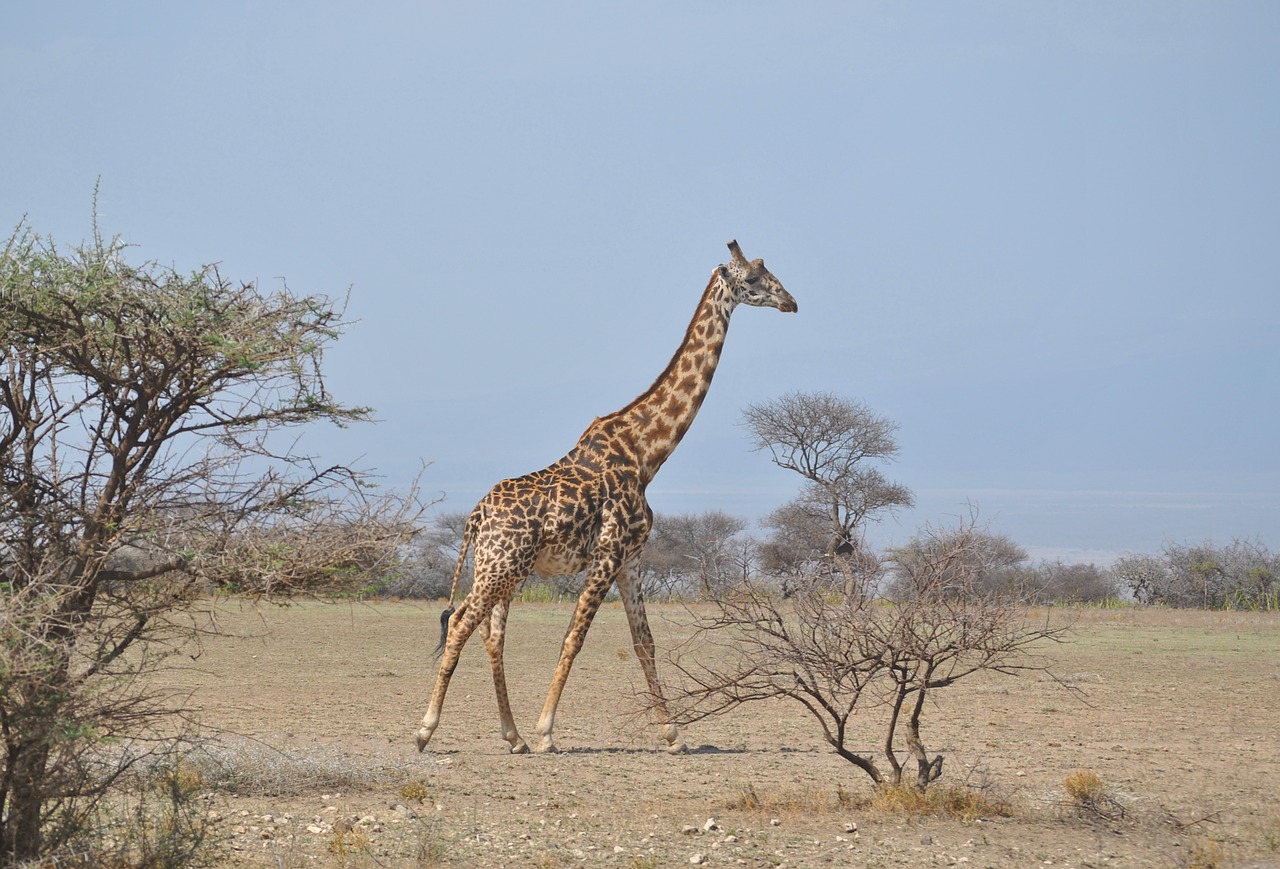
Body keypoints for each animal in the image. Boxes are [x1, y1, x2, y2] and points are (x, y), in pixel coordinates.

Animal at [419, 241, 793, 757]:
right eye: (754, 280)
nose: (791, 302)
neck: (647, 453)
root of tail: (475, 517)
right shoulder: (609, 551)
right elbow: (573, 638)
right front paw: (547, 731)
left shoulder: (632, 557)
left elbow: (644, 642)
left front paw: (673, 735)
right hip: (500, 567)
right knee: (459, 624)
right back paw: (427, 730)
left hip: (504, 569)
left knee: (492, 635)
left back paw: (512, 736)